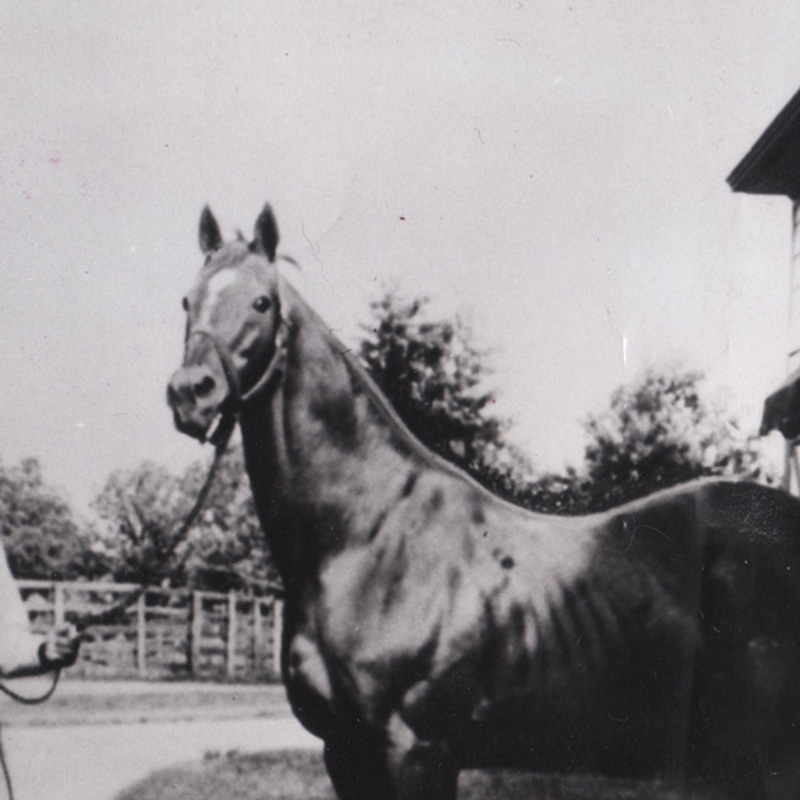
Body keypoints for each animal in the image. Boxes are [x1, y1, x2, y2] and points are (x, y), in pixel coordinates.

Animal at [169, 205, 800, 800]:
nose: (188, 393)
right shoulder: (344, 752)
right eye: (186, 300)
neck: (366, 540)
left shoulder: (416, 751)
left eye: (262, 302)